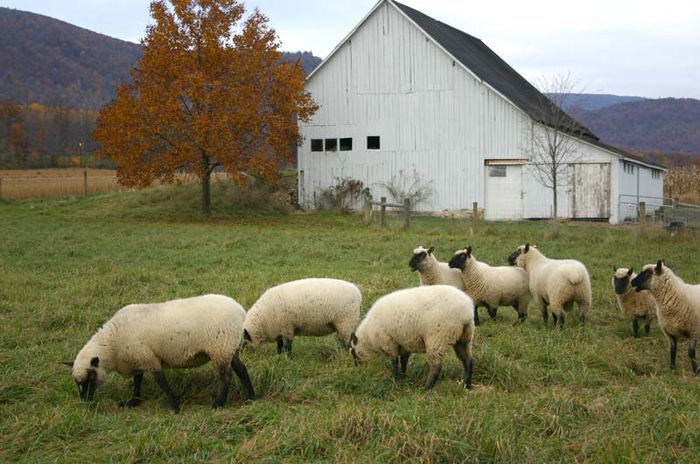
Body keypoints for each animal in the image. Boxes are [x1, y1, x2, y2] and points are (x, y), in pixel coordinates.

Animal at [64, 296, 256, 412]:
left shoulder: (148, 357)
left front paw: (175, 407)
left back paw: (218, 404)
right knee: (242, 370)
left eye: (90, 377)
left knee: (226, 377)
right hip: (230, 348)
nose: (85, 401)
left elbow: (161, 382)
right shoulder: (137, 358)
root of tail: (240, 311)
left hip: (220, 347)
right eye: (76, 382)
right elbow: (138, 381)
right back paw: (250, 397)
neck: (113, 343)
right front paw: (133, 402)